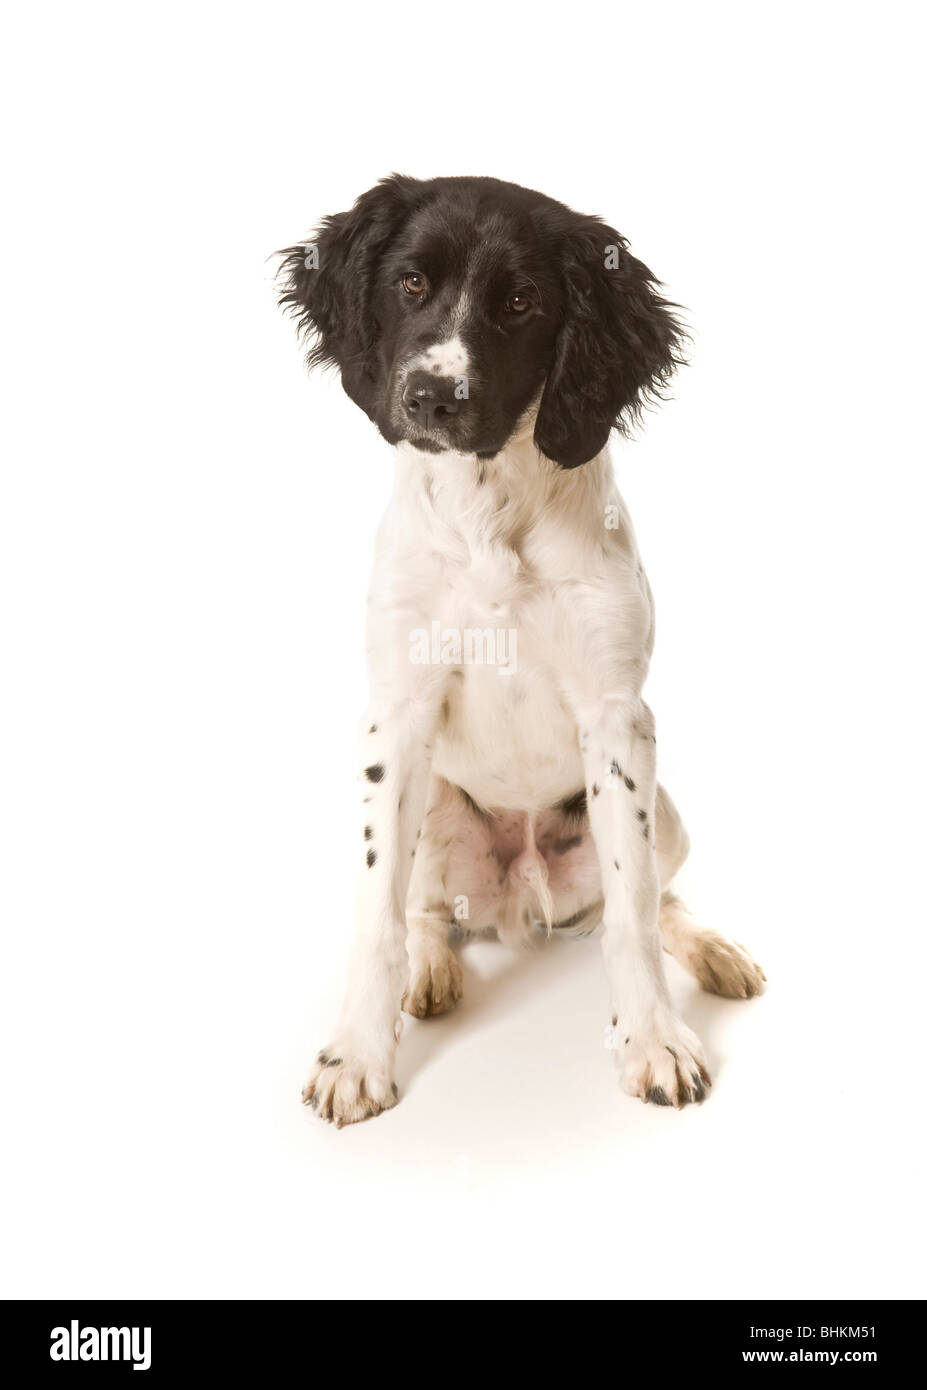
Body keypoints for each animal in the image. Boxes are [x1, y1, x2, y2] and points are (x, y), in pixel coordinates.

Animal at [277, 176, 767, 1128]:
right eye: (411, 283)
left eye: (520, 303)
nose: (432, 397)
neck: (488, 510)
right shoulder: (395, 721)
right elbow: (377, 917)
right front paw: (357, 1054)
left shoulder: (617, 720)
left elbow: (630, 912)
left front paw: (653, 1040)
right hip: (434, 811)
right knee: (428, 912)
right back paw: (433, 971)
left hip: (666, 809)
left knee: (655, 897)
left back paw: (712, 951)